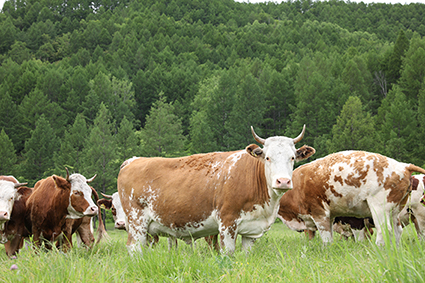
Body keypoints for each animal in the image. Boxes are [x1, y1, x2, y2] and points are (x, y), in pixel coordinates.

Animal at [117, 126, 314, 255]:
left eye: (292, 157)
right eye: (267, 157)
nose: (283, 181)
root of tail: (134, 160)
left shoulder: (251, 231)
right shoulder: (227, 222)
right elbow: (228, 253)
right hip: (136, 222)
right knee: (134, 248)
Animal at [276, 151, 424, 246]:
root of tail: (404, 166)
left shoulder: (320, 213)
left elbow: (327, 239)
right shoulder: (329, 217)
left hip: (381, 208)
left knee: (385, 230)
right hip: (394, 211)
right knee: (397, 231)